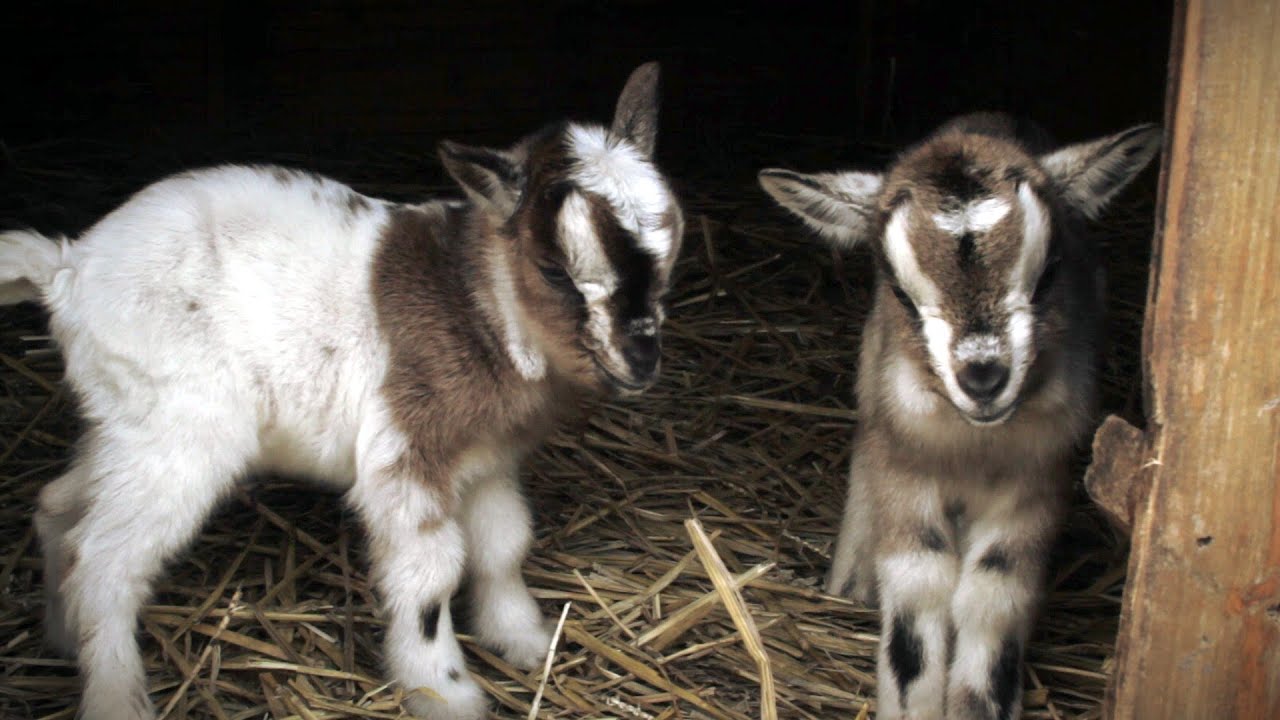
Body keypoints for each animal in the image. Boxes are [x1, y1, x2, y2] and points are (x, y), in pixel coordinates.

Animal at [0, 62, 683, 720]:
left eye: (668, 250)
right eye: (552, 270)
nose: (641, 359)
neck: (479, 302)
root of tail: (68, 267)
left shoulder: (485, 459)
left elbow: (503, 547)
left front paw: (524, 640)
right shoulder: (406, 454)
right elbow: (429, 578)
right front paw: (444, 693)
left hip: (125, 420)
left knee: (59, 506)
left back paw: (64, 640)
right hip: (180, 435)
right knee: (105, 563)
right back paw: (117, 696)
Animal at [759, 112, 1160, 720]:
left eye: (1049, 274)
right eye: (901, 291)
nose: (984, 377)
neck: (974, 447)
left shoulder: (1035, 483)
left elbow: (995, 595)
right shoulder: (906, 472)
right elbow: (916, 594)